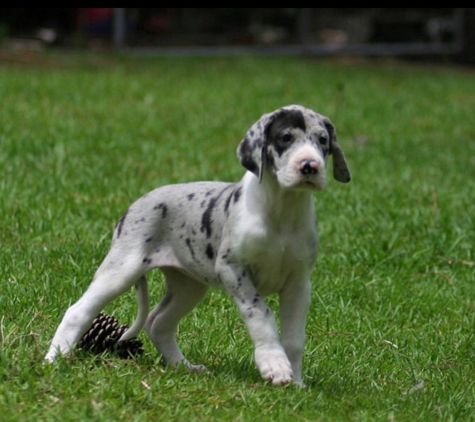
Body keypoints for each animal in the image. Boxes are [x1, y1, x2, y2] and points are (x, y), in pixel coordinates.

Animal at [44, 104, 352, 384]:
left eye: (322, 140)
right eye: (285, 138)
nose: (309, 166)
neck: (282, 212)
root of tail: (131, 208)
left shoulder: (298, 284)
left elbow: (294, 338)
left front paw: (296, 382)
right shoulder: (234, 271)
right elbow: (261, 315)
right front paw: (273, 364)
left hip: (189, 287)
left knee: (158, 323)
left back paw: (183, 367)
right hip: (121, 271)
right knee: (78, 311)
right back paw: (54, 358)